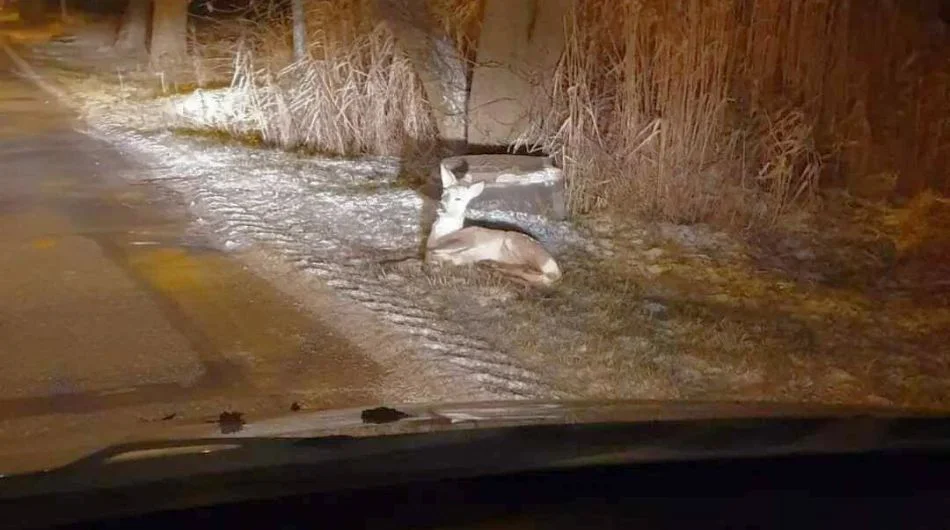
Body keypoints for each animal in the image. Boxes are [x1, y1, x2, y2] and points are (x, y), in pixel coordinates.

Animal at [426, 162, 564, 286]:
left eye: (458, 198)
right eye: (444, 193)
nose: (441, 206)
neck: (442, 233)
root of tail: (555, 266)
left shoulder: (471, 235)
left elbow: (433, 251)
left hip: (514, 241)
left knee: (535, 271)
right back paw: (495, 267)